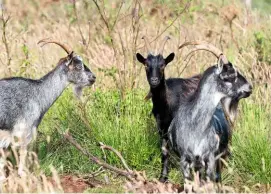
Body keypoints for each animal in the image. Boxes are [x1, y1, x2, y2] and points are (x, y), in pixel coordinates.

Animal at [137, 38, 254, 182]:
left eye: (163, 65)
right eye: (146, 65)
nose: (154, 80)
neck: (167, 105)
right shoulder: (162, 129)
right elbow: (164, 152)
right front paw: (163, 178)